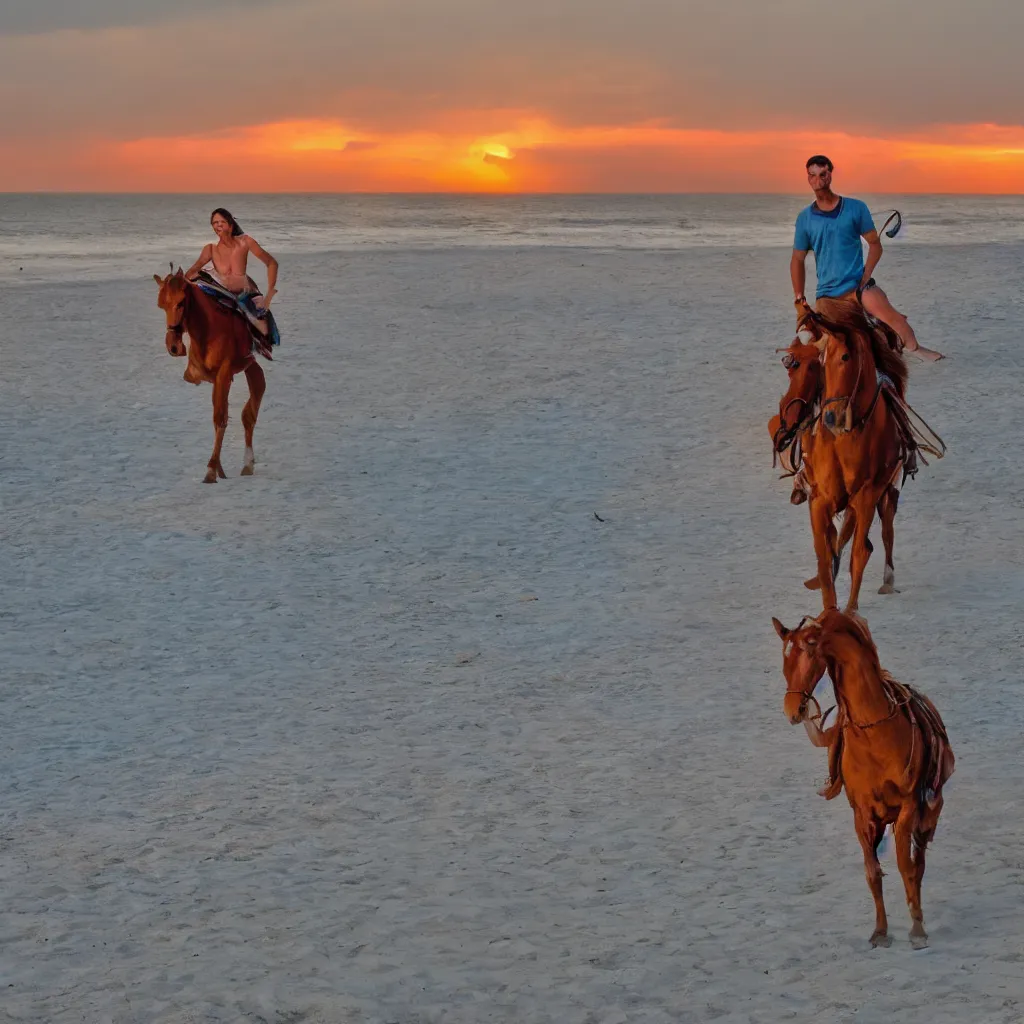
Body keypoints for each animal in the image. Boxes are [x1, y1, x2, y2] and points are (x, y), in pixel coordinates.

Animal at [152, 268, 268, 483]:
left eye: (181, 303)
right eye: (161, 305)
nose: (173, 347)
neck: (207, 331)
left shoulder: (224, 374)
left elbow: (220, 418)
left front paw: (211, 470)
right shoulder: (210, 377)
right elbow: (219, 414)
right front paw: (219, 469)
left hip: (249, 364)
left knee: (254, 399)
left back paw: (248, 463)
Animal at [770, 606, 954, 950]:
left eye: (810, 650)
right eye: (784, 659)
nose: (792, 710)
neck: (874, 732)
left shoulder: (909, 807)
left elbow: (906, 866)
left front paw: (917, 929)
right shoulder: (862, 813)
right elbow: (872, 871)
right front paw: (880, 931)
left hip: (927, 814)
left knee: (919, 862)